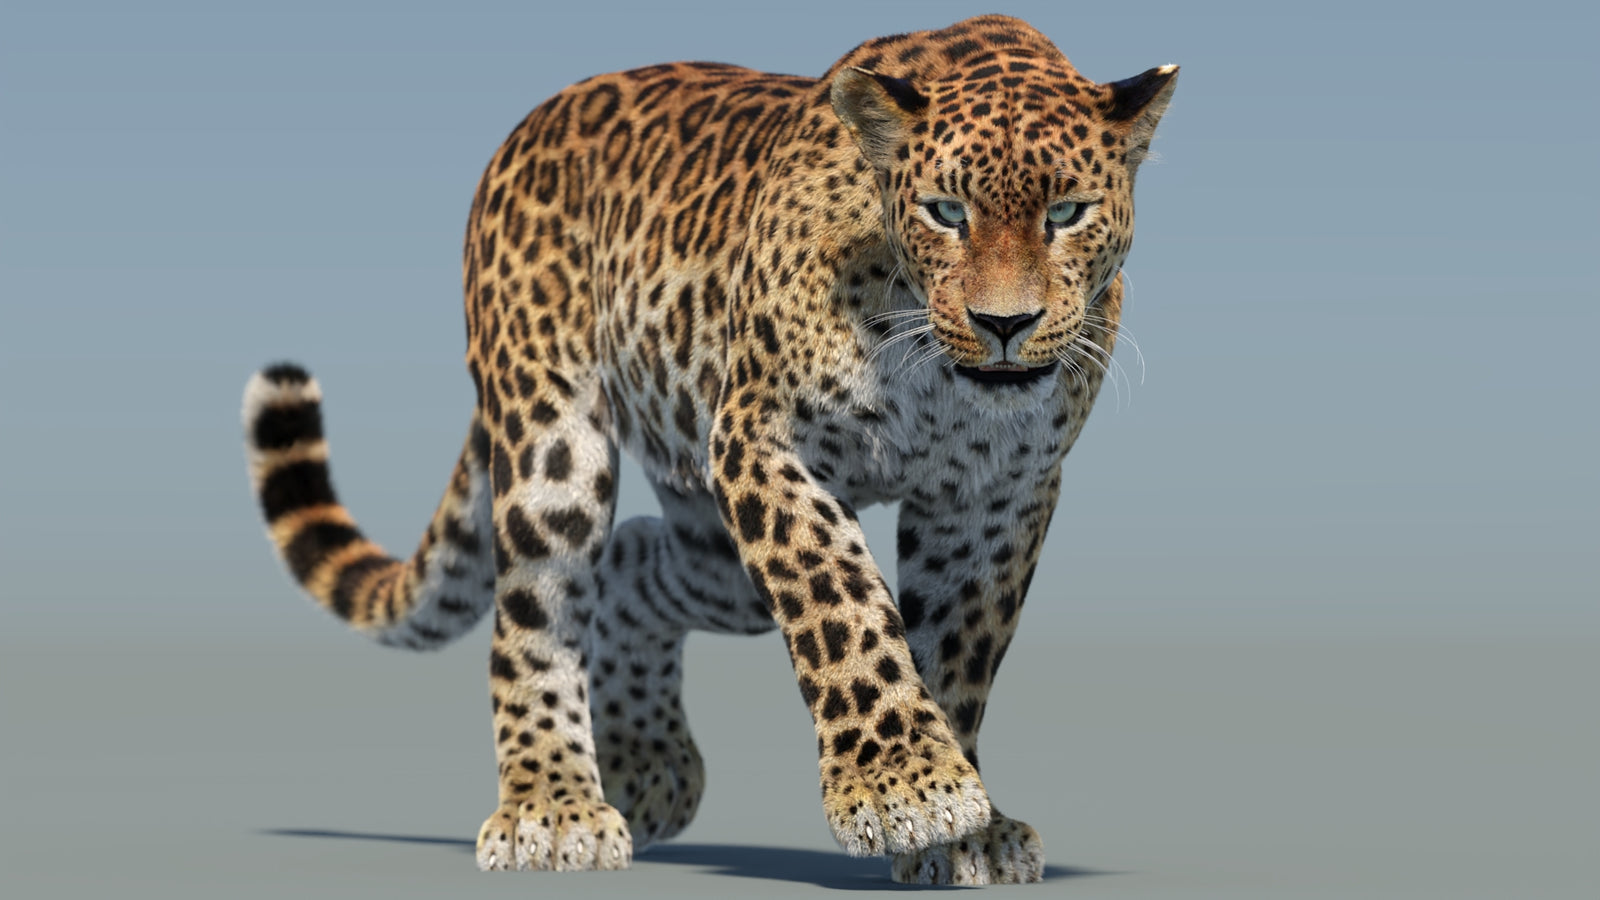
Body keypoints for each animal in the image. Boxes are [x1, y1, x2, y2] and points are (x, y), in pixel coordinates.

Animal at [241, 14, 1175, 885]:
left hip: (712, 544)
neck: (936, 373)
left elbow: (959, 645)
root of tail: (529, 126)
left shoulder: (997, 495)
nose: (1004, 324)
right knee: (536, 614)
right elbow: (840, 601)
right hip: (555, 443)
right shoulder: (761, 442)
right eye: (947, 212)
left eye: (1067, 213)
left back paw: (647, 768)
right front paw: (904, 787)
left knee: (631, 561)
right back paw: (554, 806)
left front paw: (966, 827)